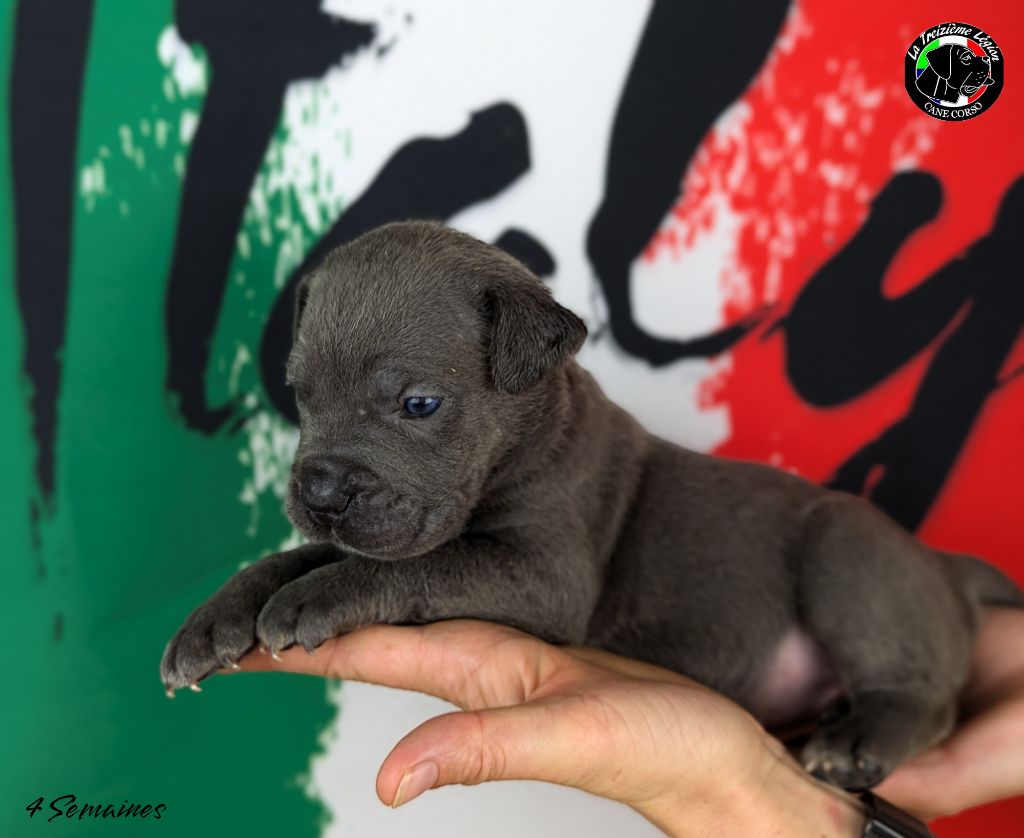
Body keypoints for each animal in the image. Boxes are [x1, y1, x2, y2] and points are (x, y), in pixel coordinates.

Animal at [163, 219, 1019, 786]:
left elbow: (415, 565)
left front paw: (318, 596)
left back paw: (859, 738)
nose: (320, 489)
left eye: (418, 404)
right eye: (300, 396)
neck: (536, 431)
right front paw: (216, 619)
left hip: (849, 554)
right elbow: (297, 556)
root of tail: (945, 568)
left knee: (923, 695)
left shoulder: (542, 574)